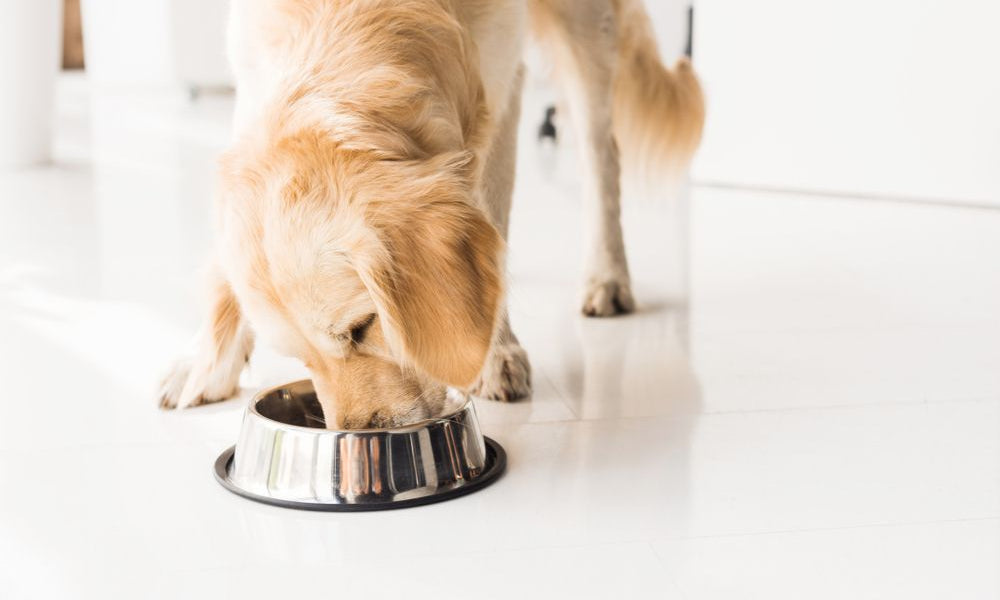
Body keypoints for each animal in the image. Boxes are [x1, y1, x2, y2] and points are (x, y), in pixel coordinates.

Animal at [158, 1, 704, 432]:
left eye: (362, 328)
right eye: (299, 357)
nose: (359, 434)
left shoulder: (501, 82)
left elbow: (491, 215)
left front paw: (494, 353)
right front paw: (206, 359)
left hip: (587, 27)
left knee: (600, 152)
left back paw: (607, 275)